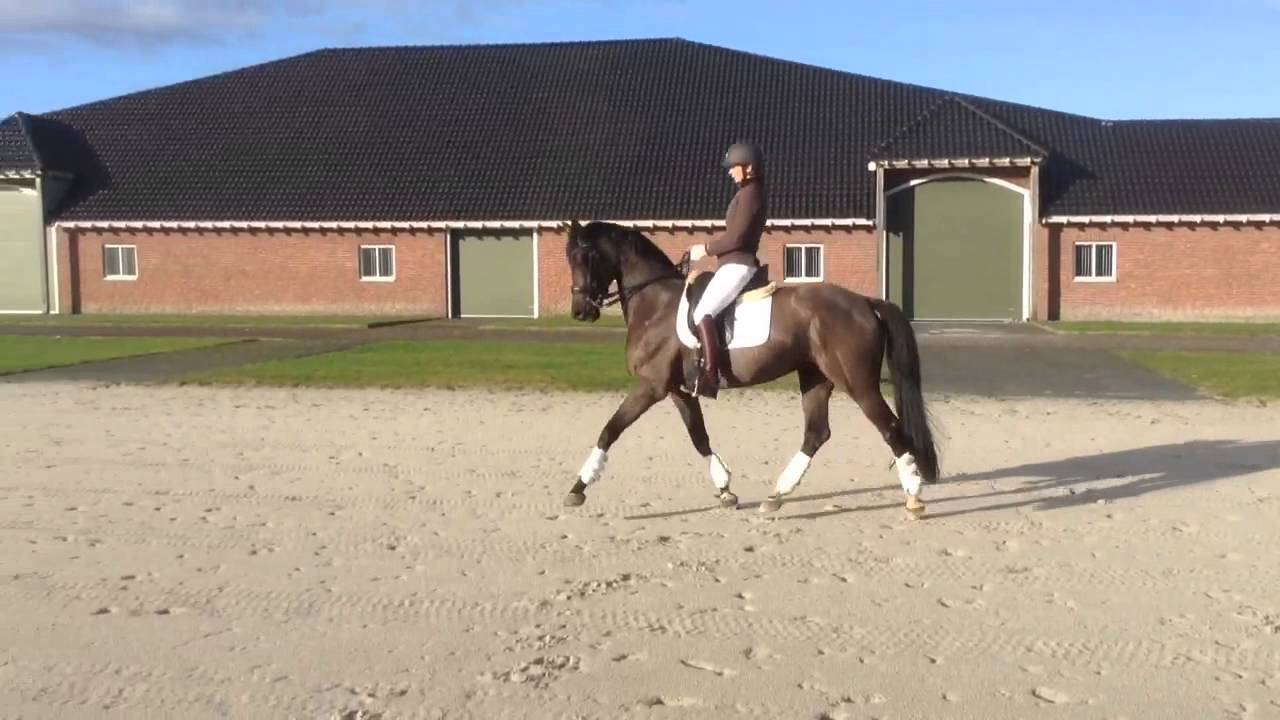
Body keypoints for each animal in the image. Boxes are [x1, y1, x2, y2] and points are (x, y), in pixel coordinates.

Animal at [561, 219, 940, 517]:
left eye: (584, 256)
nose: (581, 311)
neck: (655, 304)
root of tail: (864, 302)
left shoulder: (649, 387)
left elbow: (609, 430)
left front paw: (578, 488)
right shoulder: (677, 390)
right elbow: (699, 437)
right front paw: (725, 489)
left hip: (858, 384)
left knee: (890, 429)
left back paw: (914, 499)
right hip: (815, 378)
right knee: (817, 433)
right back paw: (777, 496)